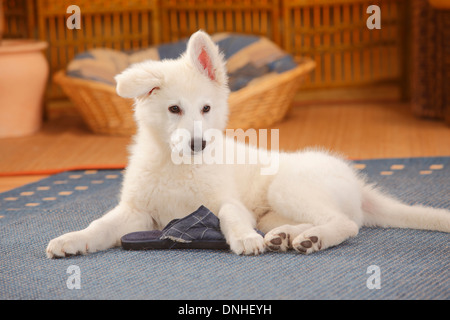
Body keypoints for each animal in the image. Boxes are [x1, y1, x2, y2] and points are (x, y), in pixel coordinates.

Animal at [46, 31, 450, 258]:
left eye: (206, 108)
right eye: (174, 109)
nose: (198, 144)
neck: (178, 166)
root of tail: (356, 183)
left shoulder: (226, 200)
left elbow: (230, 215)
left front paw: (242, 238)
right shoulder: (137, 212)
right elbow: (99, 225)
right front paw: (72, 240)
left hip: (289, 186)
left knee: (347, 223)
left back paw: (311, 239)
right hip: (274, 210)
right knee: (331, 220)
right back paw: (289, 237)